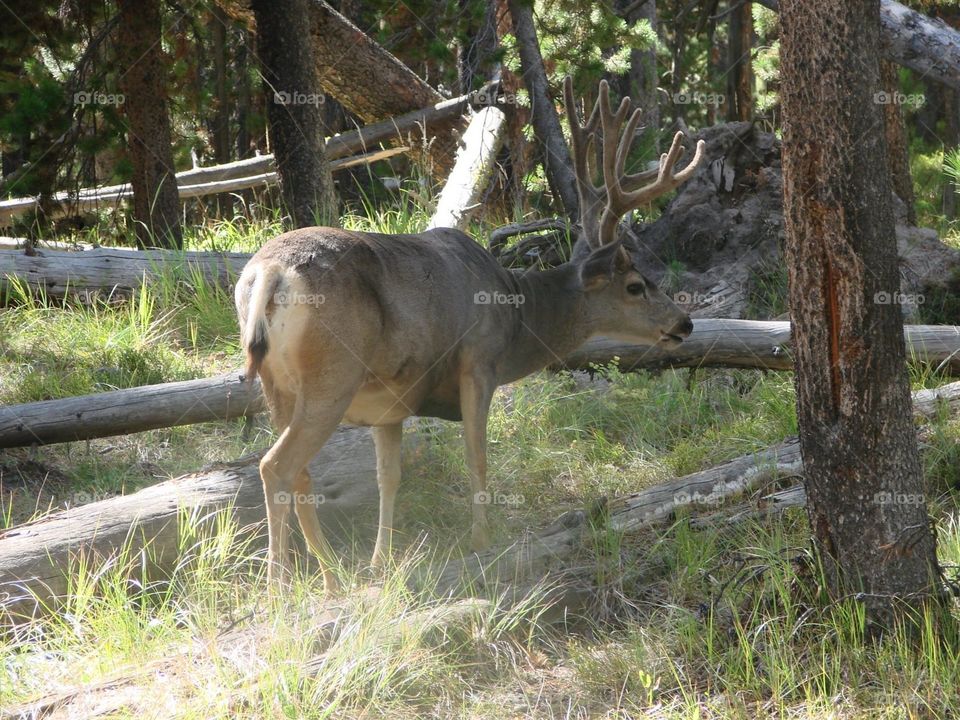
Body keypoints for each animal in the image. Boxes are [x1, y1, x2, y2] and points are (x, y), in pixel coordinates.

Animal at [235, 78, 705, 590]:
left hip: (276, 384)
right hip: (332, 376)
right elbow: (477, 456)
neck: (516, 315)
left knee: (299, 473)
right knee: (275, 466)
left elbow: (389, 477)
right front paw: (482, 539)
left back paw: (331, 574)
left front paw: (382, 561)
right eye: (636, 285)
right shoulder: (479, 363)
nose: (684, 323)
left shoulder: (390, 406)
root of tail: (270, 272)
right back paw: (280, 586)